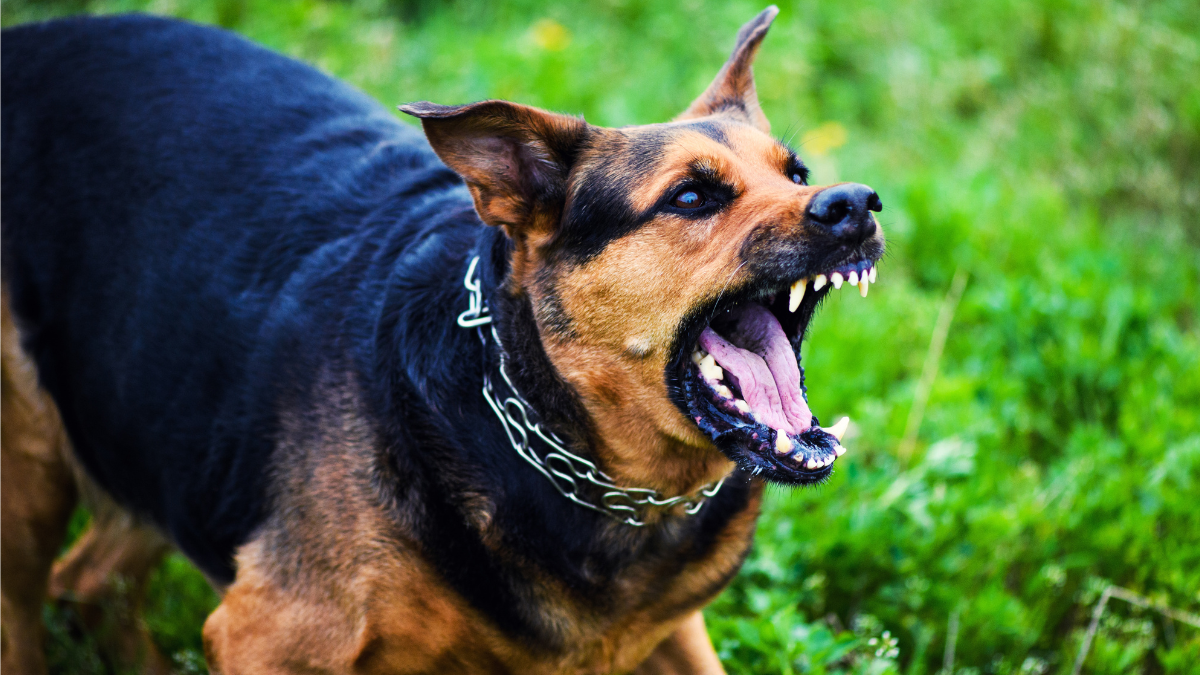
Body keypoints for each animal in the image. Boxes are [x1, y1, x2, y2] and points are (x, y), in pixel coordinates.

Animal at [0, 6, 883, 672]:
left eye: (796, 173)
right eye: (692, 196)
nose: (855, 204)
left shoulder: (673, 632)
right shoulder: (273, 634)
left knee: (87, 580)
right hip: (31, 474)